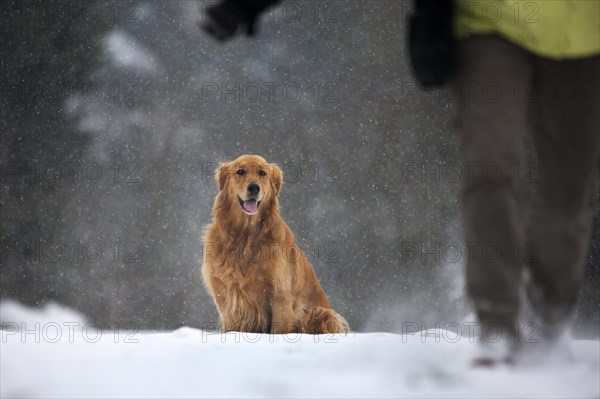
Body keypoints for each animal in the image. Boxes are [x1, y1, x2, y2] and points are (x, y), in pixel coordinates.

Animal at [203, 155, 350, 336]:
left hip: (323, 314)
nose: (254, 188)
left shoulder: (280, 295)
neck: (245, 236)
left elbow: (279, 328)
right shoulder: (225, 295)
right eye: (240, 171)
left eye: (262, 173)